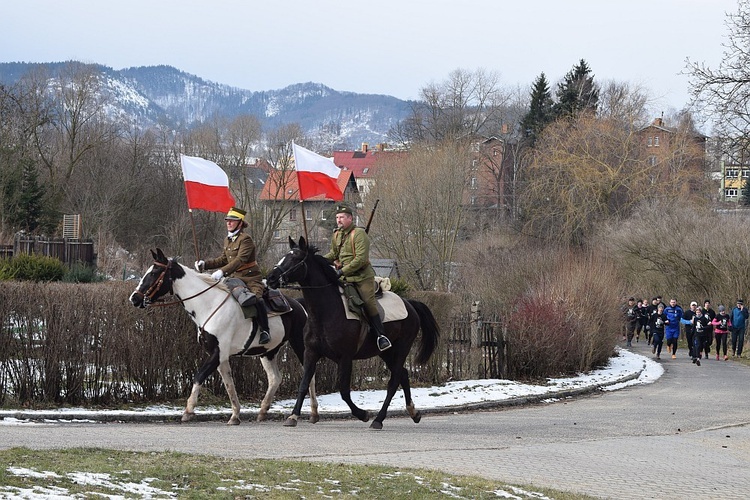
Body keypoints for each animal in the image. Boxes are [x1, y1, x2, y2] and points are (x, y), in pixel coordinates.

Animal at [129, 248, 318, 424]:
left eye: (154, 273)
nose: (134, 298)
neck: (209, 305)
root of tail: (298, 304)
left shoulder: (217, 354)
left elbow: (199, 377)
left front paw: (188, 410)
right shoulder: (220, 356)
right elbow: (229, 384)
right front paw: (235, 415)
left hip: (299, 345)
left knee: (309, 374)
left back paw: (312, 413)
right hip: (268, 351)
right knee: (275, 379)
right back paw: (263, 411)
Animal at [266, 238, 438, 430]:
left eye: (295, 258)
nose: (271, 278)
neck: (326, 312)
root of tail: (409, 304)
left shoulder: (345, 358)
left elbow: (344, 392)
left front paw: (362, 414)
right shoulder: (310, 353)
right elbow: (304, 385)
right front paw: (293, 416)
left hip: (401, 349)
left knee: (394, 382)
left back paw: (378, 419)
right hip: (387, 353)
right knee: (403, 375)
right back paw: (413, 413)